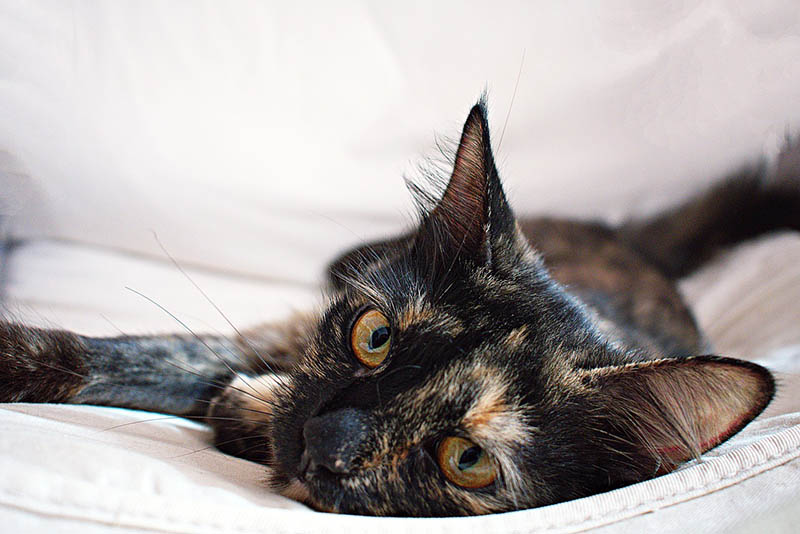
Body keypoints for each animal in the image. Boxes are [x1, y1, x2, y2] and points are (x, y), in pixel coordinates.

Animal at [3, 99, 796, 516]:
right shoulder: (280, 336)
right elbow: (123, 356)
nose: (324, 438)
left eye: (466, 458)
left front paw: (243, 411)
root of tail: (637, 247)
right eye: (374, 337)